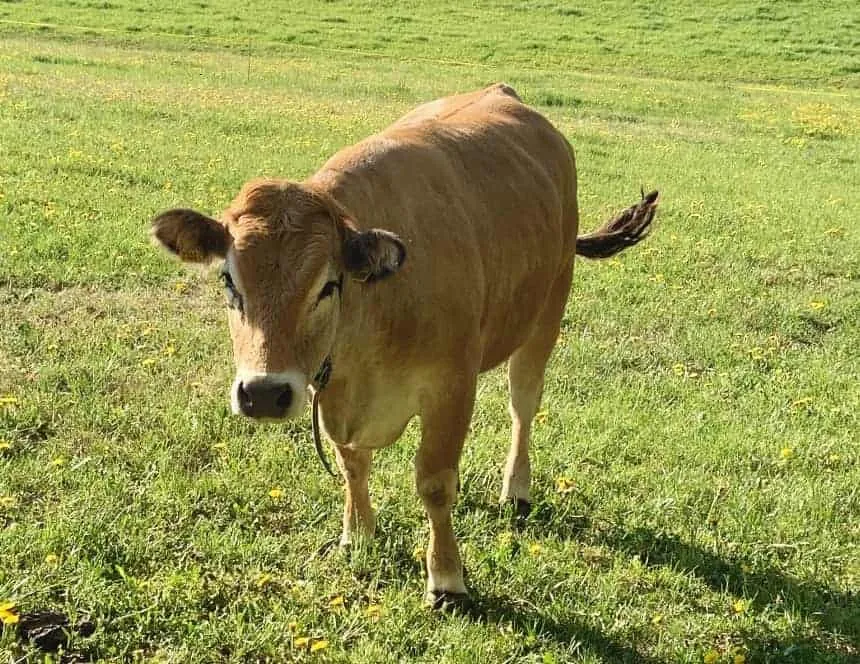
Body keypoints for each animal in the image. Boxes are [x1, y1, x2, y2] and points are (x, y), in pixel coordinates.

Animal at [151, 83, 658, 608]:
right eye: (229, 281)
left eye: (327, 286)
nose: (264, 393)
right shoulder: (333, 391)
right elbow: (351, 462)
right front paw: (358, 535)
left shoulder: (451, 386)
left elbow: (434, 483)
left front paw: (448, 578)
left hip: (548, 311)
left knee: (523, 405)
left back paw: (517, 489)